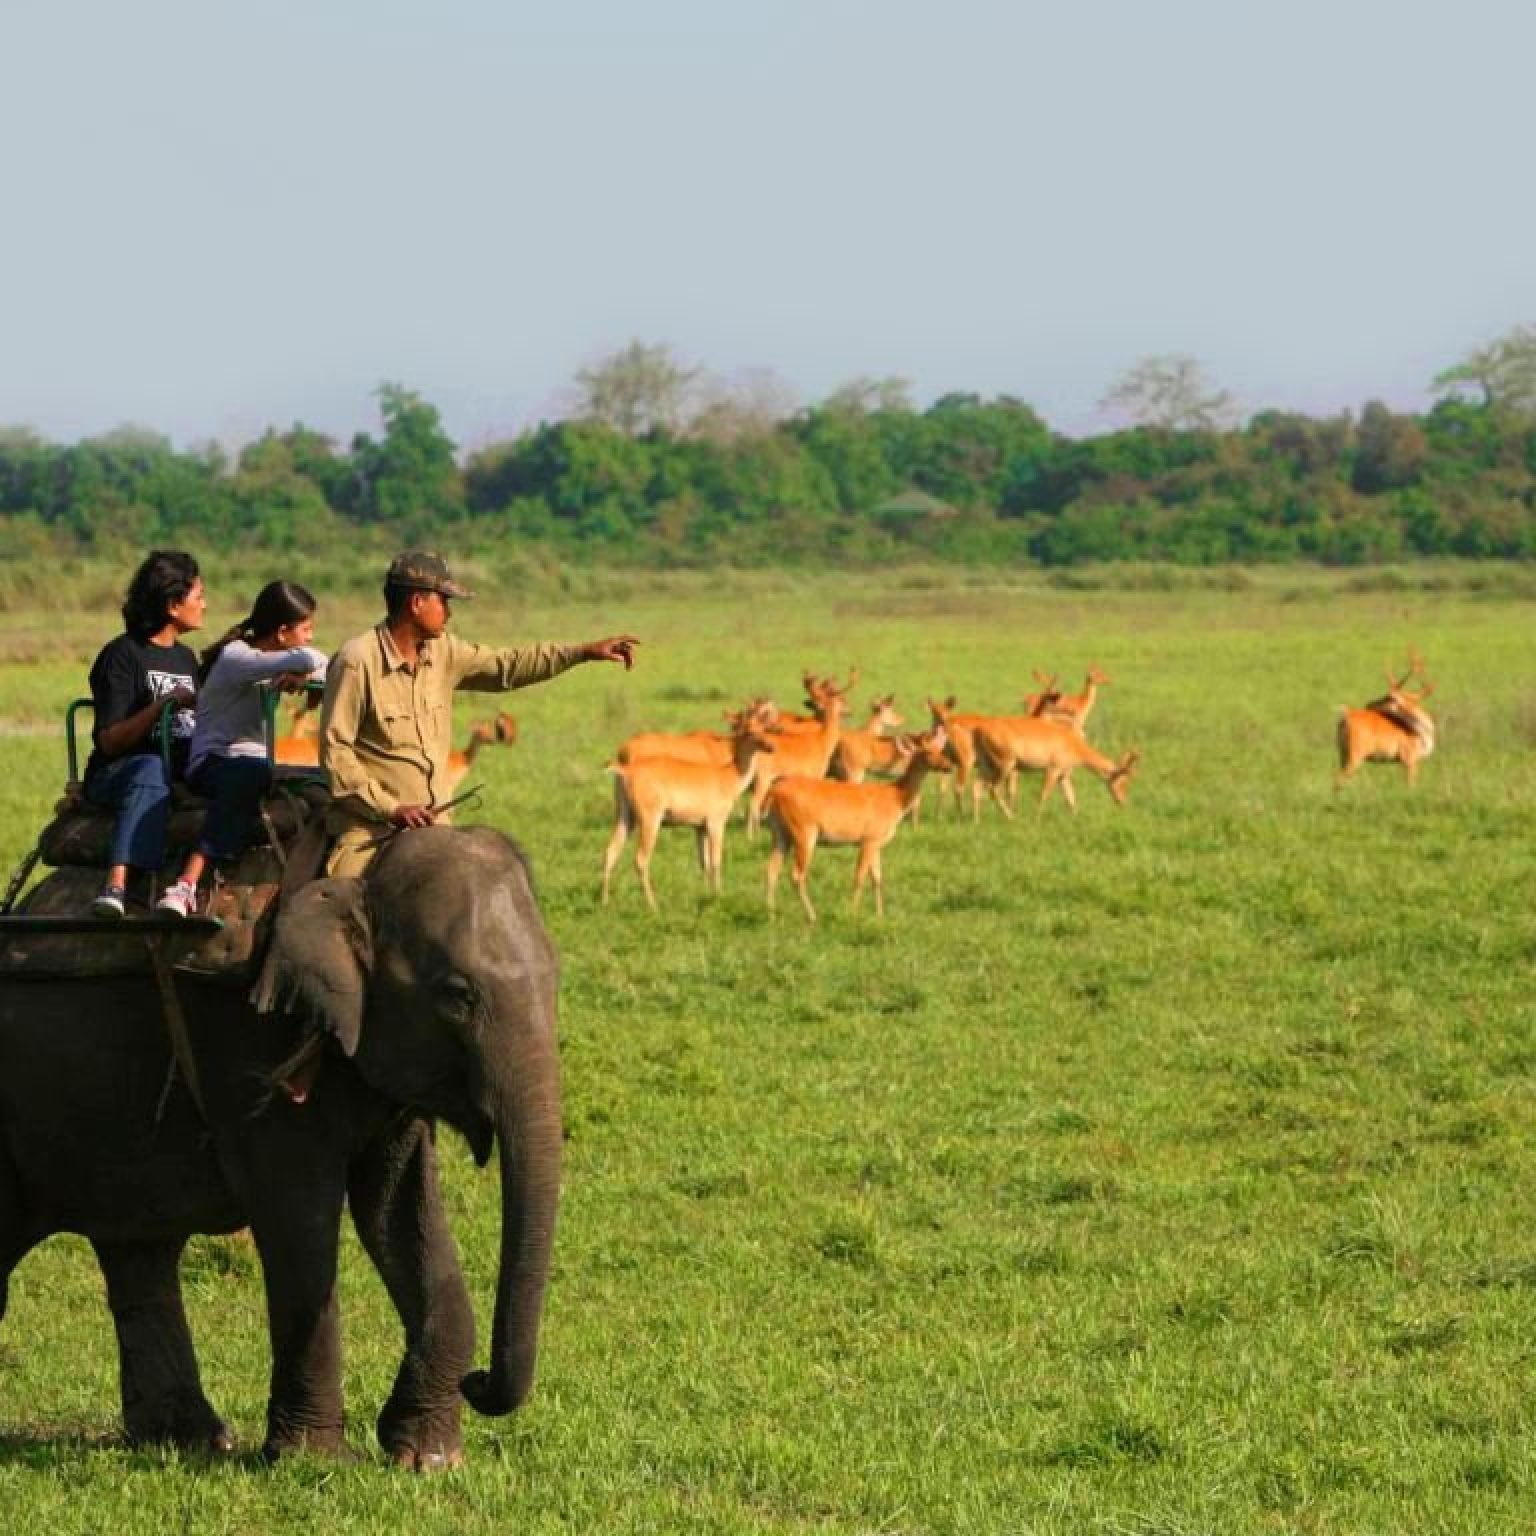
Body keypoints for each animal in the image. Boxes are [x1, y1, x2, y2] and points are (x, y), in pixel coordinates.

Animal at [0, 824, 562, 1468]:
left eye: (555, 977)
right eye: (457, 995)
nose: (479, 1380)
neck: (358, 875)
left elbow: (401, 1217)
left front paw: (425, 1459)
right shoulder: (251, 1045)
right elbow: (298, 1217)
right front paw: (313, 1461)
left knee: (140, 1253)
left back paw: (188, 1440)